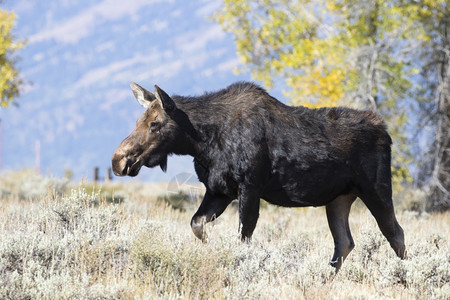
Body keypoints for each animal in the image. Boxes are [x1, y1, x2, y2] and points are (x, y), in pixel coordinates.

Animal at [111, 81, 404, 270]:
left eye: (155, 123)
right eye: (138, 121)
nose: (119, 160)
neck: (201, 141)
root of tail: (386, 132)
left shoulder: (249, 187)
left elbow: (243, 236)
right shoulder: (218, 190)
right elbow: (197, 224)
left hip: (376, 189)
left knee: (395, 233)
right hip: (338, 199)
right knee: (344, 243)